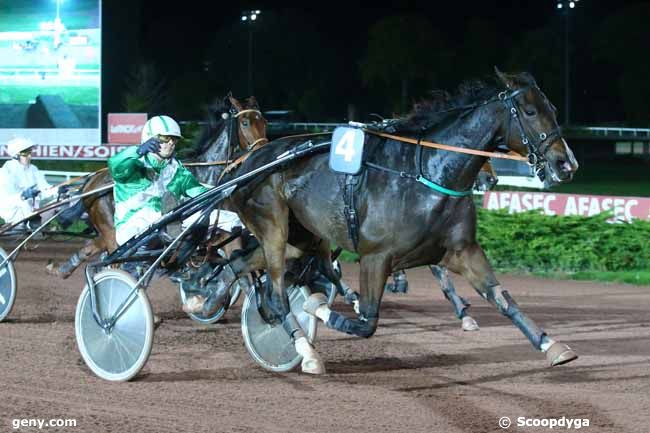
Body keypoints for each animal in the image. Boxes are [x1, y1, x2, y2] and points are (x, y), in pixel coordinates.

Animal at [46, 94, 268, 276]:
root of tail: (91, 182)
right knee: (112, 258)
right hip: (113, 231)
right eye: (245, 122)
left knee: (91, 248)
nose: (263, 150)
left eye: (264, 121)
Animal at [221, 69, 576, 372]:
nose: (566, 163)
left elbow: (502, 298)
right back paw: (306, 351)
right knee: (277, 294)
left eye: (553, 107)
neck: (428, 173)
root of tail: (251, 160)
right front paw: (315, 306)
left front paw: (552, 346)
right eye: (529, 112)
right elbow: (366, 322)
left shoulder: (462, 250)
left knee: (240, 264)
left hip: (301, 237)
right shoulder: (375, 257)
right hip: (274, 229)